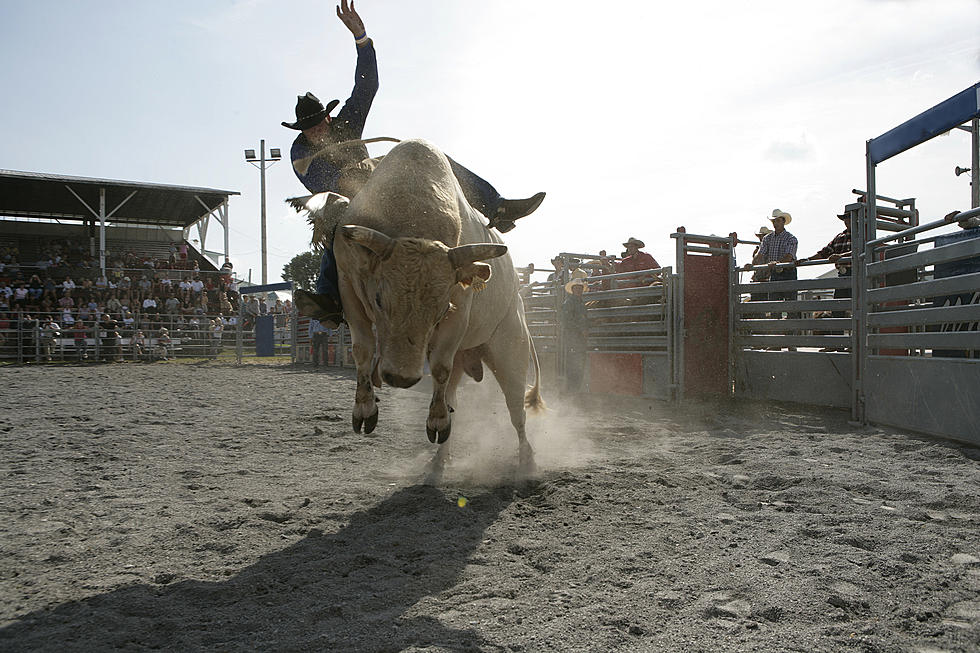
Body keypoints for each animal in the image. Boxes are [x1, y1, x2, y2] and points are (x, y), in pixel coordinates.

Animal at [294, 138, 548, 476]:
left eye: (441, 310)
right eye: (378, 299)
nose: (401, 378)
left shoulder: (460, 307)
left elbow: (439, 366)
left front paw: (435, 422)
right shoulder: (349, 286)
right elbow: (362, 349)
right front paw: (364, 410)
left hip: (511, 351)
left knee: (516, 411)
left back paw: (526, 461)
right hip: (470, 360)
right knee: (453, 400)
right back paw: (439, 460)